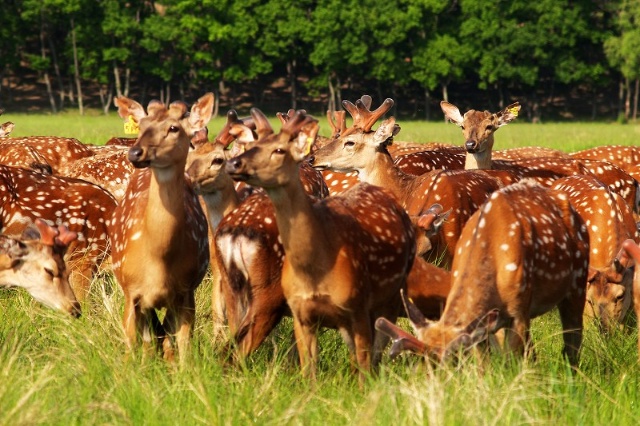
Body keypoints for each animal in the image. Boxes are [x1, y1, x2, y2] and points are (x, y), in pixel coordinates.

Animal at [109, 94, 211, 362]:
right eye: (142, 126)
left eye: (174, 128)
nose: (135, 152)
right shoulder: (131, 290)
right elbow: (131, 344)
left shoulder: (186, 290)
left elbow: (184, 345)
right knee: (151, 339)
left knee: (164, 338)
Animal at [376, 180, 592, 366]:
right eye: (423, 363)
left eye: (454, 359)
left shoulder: (520, 309)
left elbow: (512, 360)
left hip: (578, 282)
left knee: (572, 341)